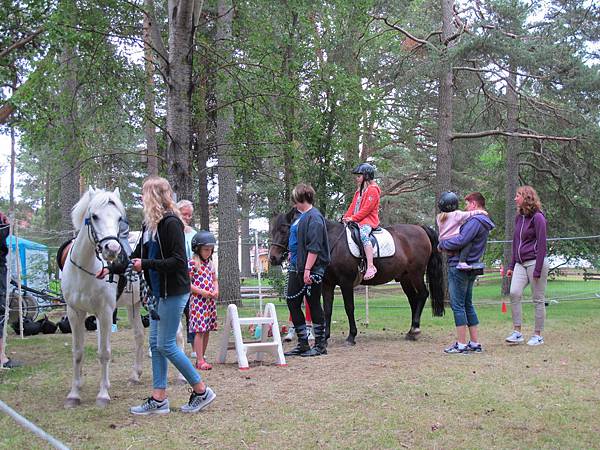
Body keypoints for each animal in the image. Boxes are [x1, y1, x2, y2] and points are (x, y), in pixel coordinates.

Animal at [270, 207, 442, 344]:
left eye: (285, 231)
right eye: (272, 230)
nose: (273, 257)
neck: (331, 242)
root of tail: (420, 228)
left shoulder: (346, 283)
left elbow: (349, 307)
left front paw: (351, 336)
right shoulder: (327, 284)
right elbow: (327, 309)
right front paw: (325, 337)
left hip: (416, 274)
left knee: (422, 295)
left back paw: (415, 329)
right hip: (405, 278)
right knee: (413, 299)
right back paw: (412, 330)